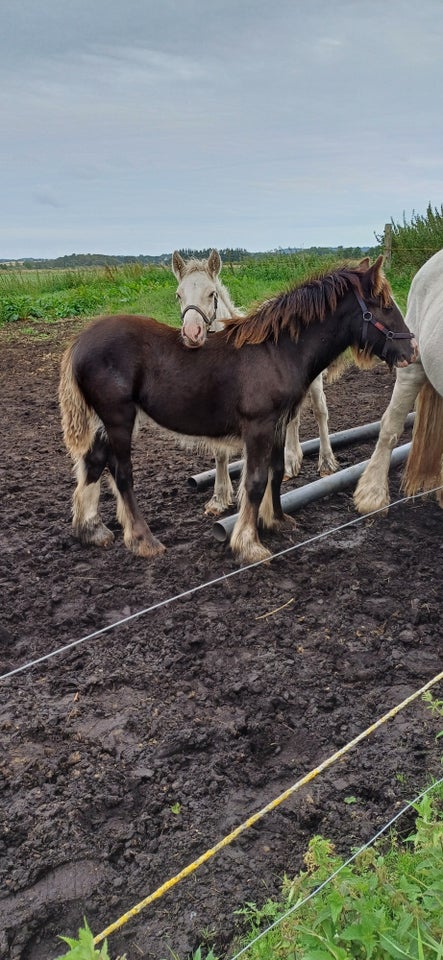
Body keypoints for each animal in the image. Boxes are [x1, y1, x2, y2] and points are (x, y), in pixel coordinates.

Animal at [172, 251, 338, 512]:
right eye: (179, 295)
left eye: (212, 293)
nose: (192, 333)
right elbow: (219, 451)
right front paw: (219, 498)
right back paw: (292, 461)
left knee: (321, 412)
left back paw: (326, 463)